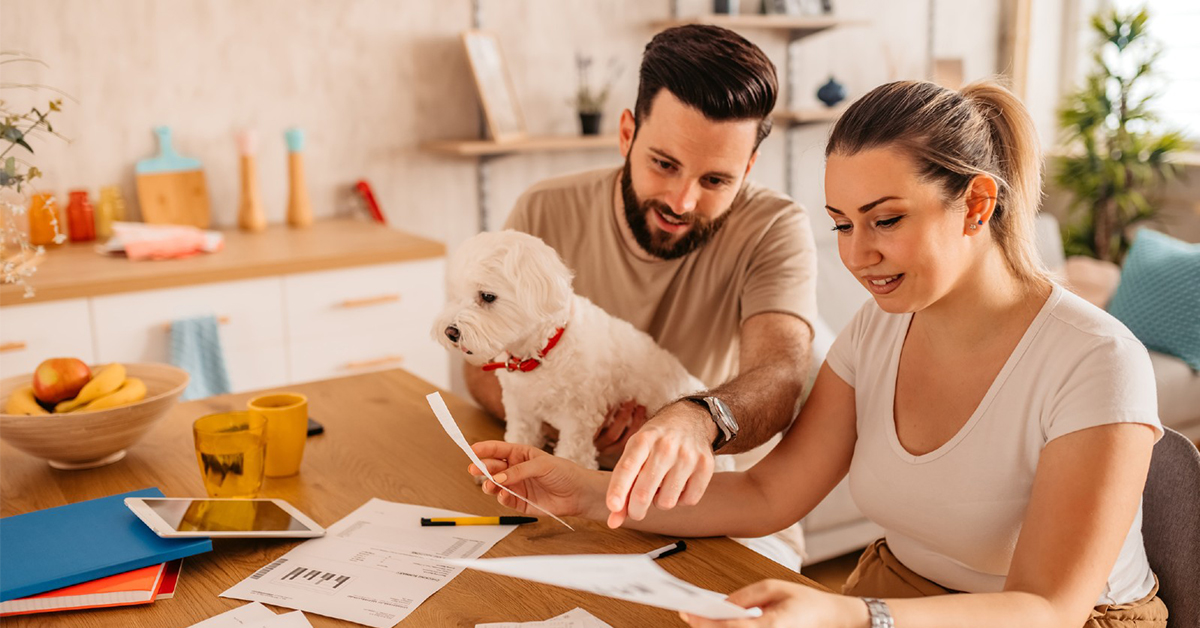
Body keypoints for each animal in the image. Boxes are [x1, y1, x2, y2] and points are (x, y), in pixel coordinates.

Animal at [434, 228, 705, 468]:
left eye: (487, 296)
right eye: (456, 294)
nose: (450, 332)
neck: (541, 355)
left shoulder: (578, 422)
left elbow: (572, 459)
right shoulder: (521, 410)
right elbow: (519, 438)